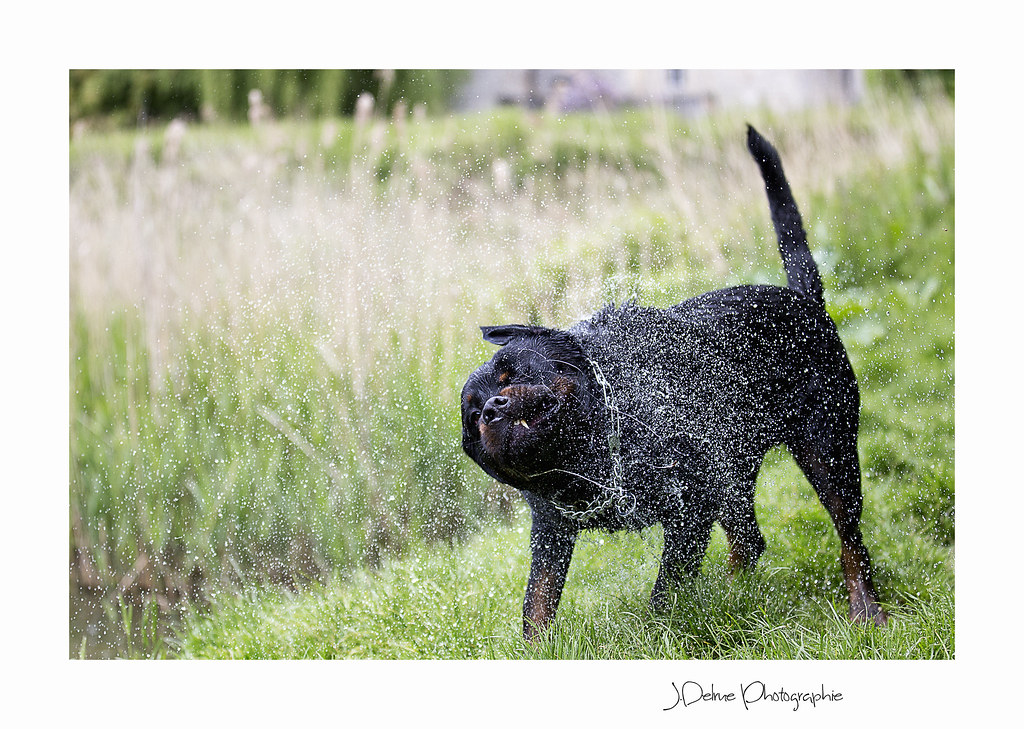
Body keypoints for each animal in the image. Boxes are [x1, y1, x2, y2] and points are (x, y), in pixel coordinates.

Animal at [460, 127, 884, 638]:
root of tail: (806, 300)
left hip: (828, 449)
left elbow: (665, 593)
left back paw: (865, 609)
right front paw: (535, 647)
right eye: (472, 414)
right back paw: (733, 597)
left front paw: (653, 634)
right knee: (750, 540)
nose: (492, 409)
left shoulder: (690, 505)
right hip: (733, 469)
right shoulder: (551, 528)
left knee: (850, 538)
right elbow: (536, 604)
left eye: (515, 372)